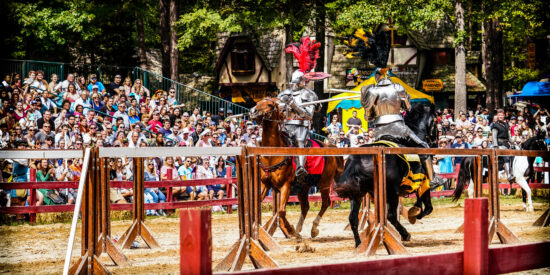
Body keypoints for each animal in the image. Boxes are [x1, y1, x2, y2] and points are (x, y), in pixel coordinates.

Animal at [248, 98, 342, 238]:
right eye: (259, 102)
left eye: (269, 104)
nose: (253, 111)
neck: (273, 154)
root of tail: (328, 145)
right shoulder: (265, 185)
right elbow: (258, 203)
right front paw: (291, 231)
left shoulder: (285, 186)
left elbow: (281, 211)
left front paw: (290, 230)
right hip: (303, 187)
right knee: (305, 206)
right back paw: (298, 229)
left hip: (324, 183)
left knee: (325, 203)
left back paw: (313, 229)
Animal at [334, 104, 438, 248]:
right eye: (436, 122)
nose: (435, 142)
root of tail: (356, 160)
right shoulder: (422, 182)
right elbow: (428, 207)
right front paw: (414, 214)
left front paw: (414, 210)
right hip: (391, 193)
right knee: (391, 215)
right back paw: (405, 235)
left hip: (357, 194)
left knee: (353, 218)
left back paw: (359, 243)